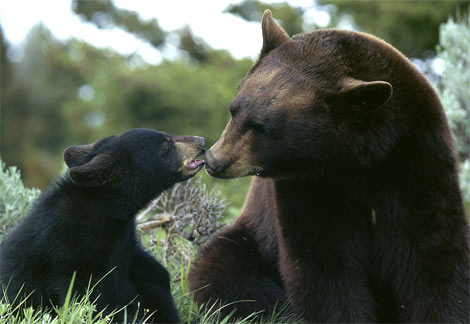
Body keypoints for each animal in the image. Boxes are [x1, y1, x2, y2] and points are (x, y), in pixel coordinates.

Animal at [188, 8, 470, 322]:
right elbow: (323, 266)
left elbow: (432, 258)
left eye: (264, 127)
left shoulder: (416, 162)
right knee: (224, 272)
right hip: (250, 239)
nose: (214, 160)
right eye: (234, 109)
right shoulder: (310, 187)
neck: (358, 162)